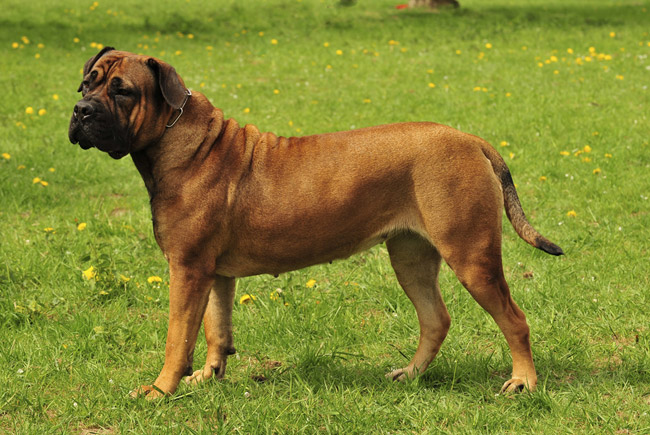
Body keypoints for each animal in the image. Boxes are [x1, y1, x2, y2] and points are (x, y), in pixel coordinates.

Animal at [68, 47, 560, 398]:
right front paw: (208, 376)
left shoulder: (187, 269)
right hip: (411, 257)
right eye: (86, 84)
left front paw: (159, 390)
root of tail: (471, 140)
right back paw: (411, 374)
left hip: (472, 256)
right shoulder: (212, 272)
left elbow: (177, 336)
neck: (175, 136)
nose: (81, 111)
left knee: (515, 320)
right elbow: (214, 329)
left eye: (122, 91)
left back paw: (524, 382)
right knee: (435, 318)